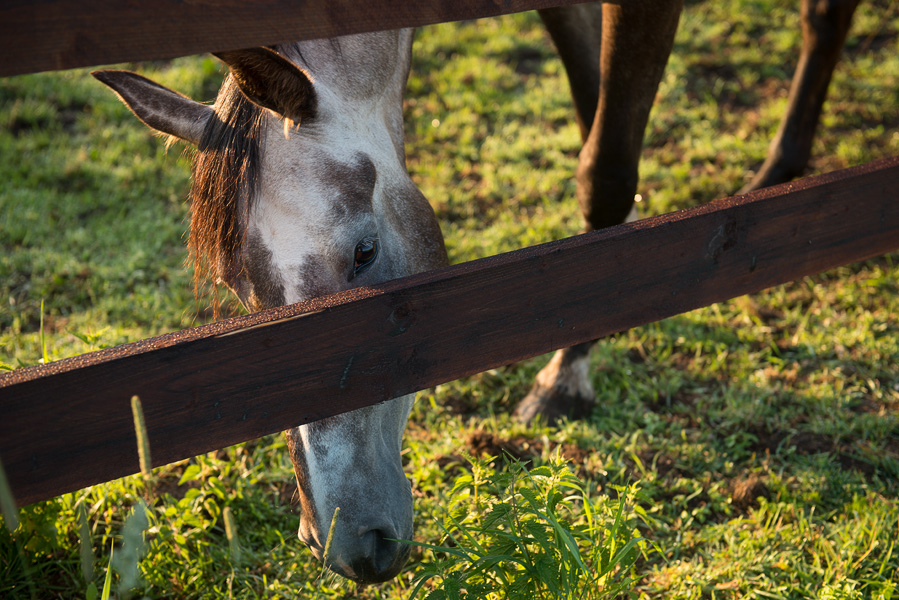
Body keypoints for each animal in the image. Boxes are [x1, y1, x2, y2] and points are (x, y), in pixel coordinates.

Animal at [93, 0, 864, 584]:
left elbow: (605, 168)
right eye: (242, 292)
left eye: (363, 253)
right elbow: (598, 114)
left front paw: (567, 371)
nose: (347, 545)